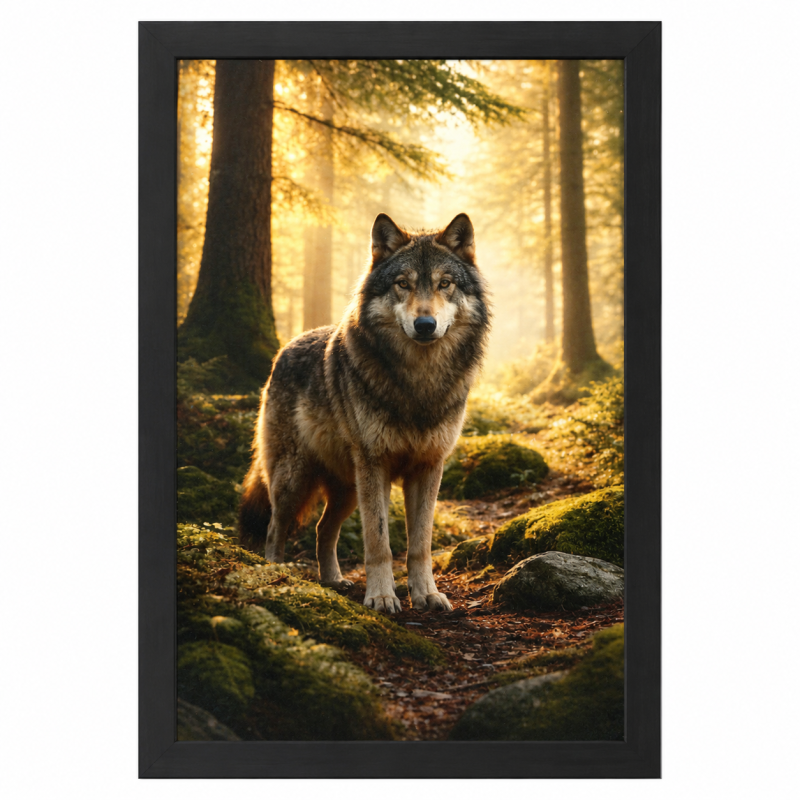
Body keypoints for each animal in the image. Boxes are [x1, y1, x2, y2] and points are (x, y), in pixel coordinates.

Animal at [239, 213, 490, 613]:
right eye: (403, 284)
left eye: (444, 284)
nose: (425, 325)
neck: (418, 382)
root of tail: (285, 348)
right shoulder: (376, 465)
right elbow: (378, 541)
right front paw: (382, 596)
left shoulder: (429, 467)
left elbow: (420, 543)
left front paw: (427, 594)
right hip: (297, 478)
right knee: (275, 528)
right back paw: (277, 576)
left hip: (348, 488)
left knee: (323, 529)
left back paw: (333, 580)